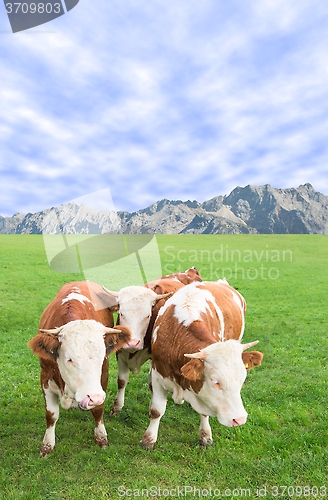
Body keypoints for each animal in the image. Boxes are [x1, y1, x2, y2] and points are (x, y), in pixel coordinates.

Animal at [28, 282, 131, 458]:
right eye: (69, 359)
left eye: (102, 356)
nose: (93, 397)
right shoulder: (45, 377)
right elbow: (51, 415)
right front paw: (47, 446)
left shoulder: (103, 376)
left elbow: (98, 410)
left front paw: (101, 438)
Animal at [96, 268, 201, 416]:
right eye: (121, 313)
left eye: (148, 315)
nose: (132, 343)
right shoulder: (120, 353)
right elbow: (122, 381)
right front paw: (117, 407)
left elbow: (152, 384)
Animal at [140, 282, 262, 450]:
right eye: (216, 382)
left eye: (242, 380)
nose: (240, 420)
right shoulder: (158, 376)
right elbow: (156, 410)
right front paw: (148, 440)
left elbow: (204, 412)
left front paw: (205, 436)